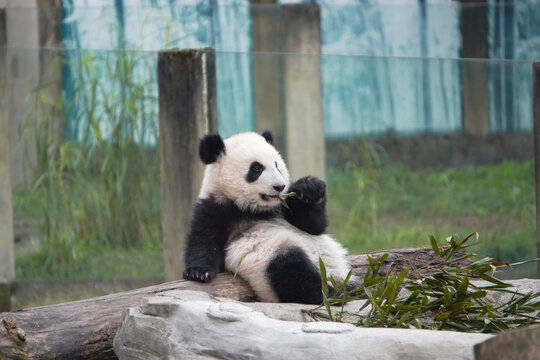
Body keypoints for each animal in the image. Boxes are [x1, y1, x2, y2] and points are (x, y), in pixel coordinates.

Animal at [184, 131, 356, 302]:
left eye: (277, 165)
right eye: (256, 168)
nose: (279, 187)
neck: (253, 209)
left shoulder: (283, 207)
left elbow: (314, 225)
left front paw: (310, 187)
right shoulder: (217, 209)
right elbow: (205, 239)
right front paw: (198, 272)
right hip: (273, 256)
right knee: (291, 270)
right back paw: (333, 294)